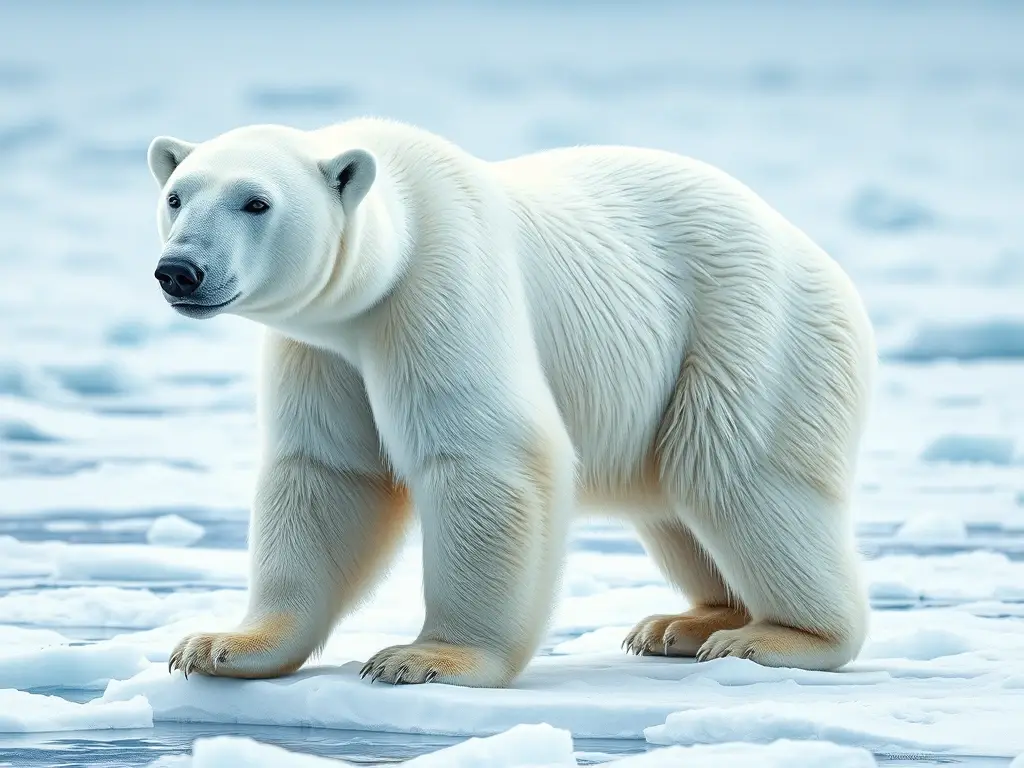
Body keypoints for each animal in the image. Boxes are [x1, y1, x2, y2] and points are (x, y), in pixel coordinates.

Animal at [147, 117, 875, 687]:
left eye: (256, 202)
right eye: (176, 196)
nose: (179, 270)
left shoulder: (440, 284)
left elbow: (486, 458)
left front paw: (428, 658)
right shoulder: (323, 346)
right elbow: (326, 472)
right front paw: (219, 645)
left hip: (748, 329)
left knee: (736, 476)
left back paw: (777, 636)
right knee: (674, 498)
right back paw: (682, 623)